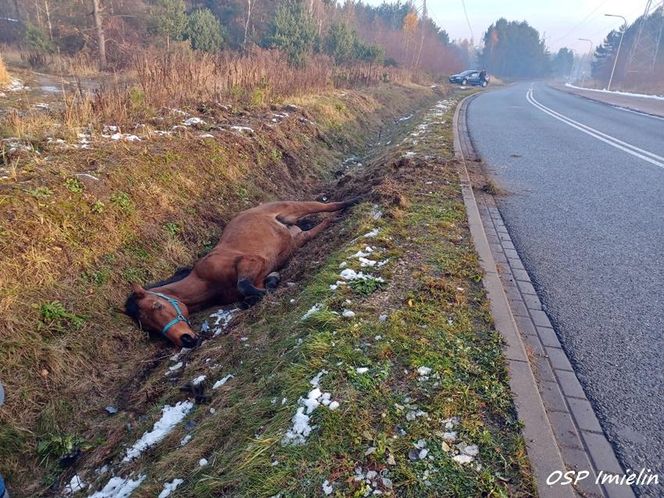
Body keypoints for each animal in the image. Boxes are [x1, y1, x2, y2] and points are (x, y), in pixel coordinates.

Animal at [127, 198, 360, 346]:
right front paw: (271, 282)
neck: (206, 281)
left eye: (157, 306)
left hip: (295, 207)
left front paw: (271, 288)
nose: (185, 340)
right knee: (320, 224)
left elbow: (244, 285)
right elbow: (249, 294)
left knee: (330, 205)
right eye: (149, 328)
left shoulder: (251, 261)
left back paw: (355, 200)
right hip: (298, 238)